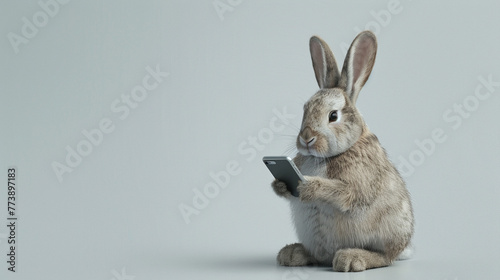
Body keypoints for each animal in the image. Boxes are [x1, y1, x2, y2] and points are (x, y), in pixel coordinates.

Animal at [272, 30, 416, 272]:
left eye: (333, 116)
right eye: (305, 110)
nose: (306, 138)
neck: (322, 157)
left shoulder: (358, 183)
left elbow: (344, 192)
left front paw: (309, 186)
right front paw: (279, 185)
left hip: (387, 234)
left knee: (385, 257)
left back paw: (351, 258)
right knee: (317, 256)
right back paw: (292, 253)